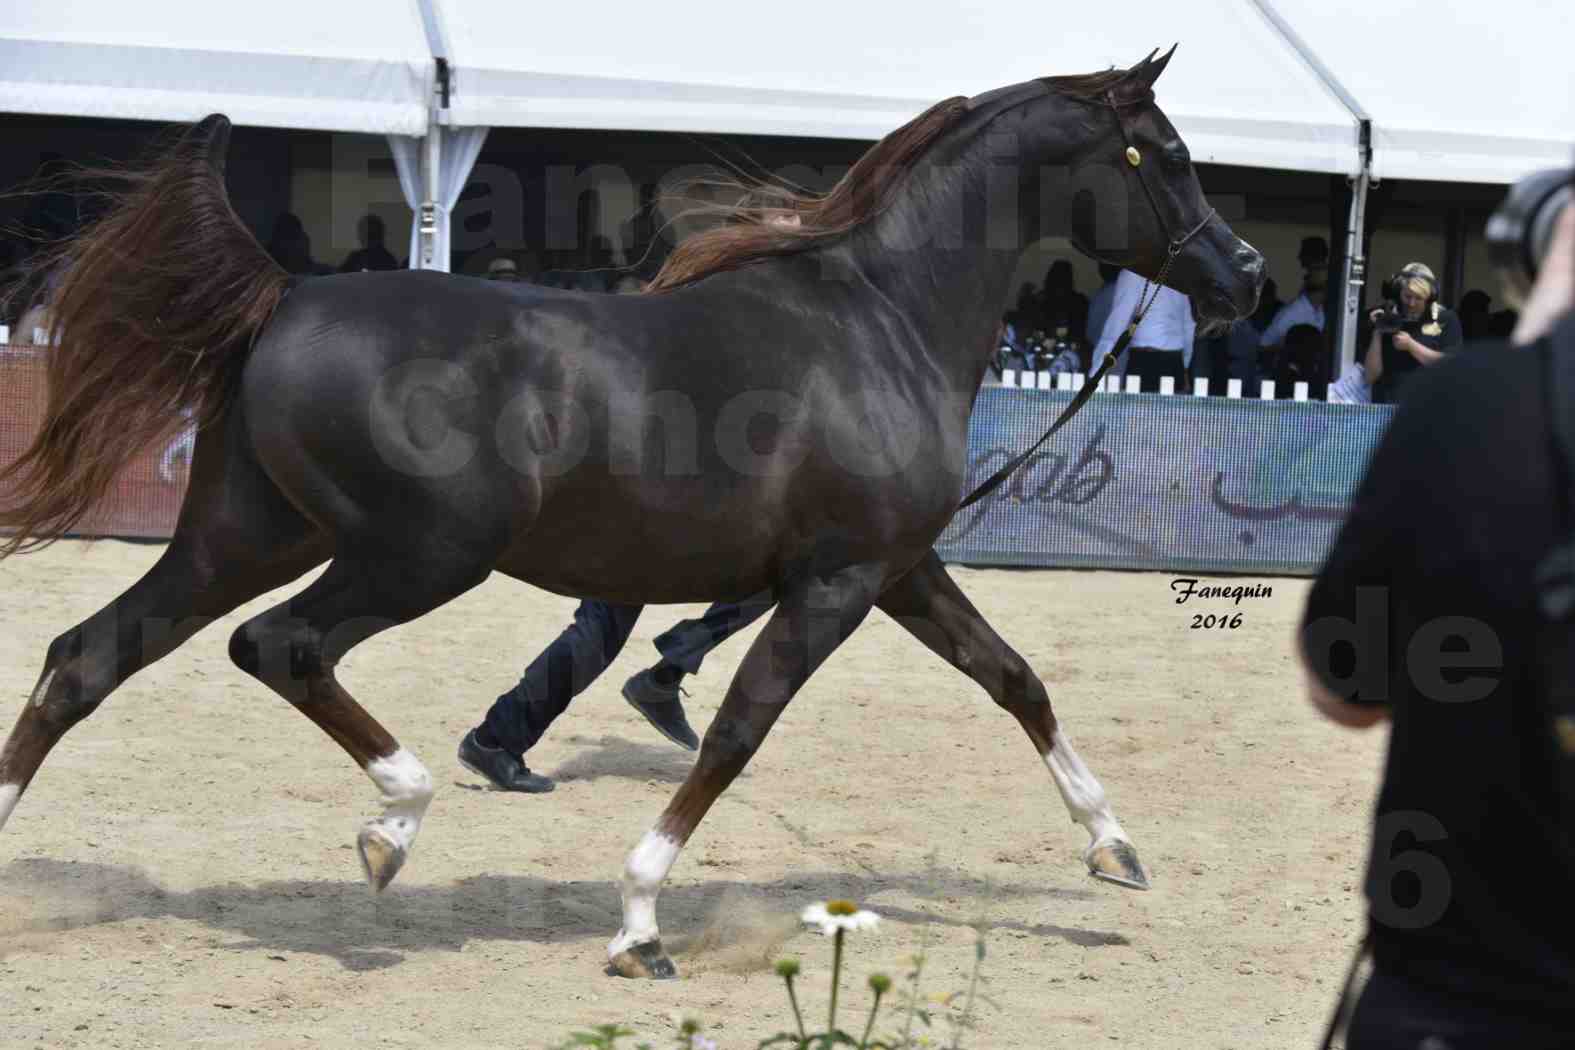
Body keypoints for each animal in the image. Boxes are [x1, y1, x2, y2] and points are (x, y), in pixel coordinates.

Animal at [0, 49, 1260, 982]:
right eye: (1172, 157)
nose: (1243, 272)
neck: (881, 319)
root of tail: (286, 296)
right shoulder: (838, 584)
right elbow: (737, 731)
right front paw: (640, 924)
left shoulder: (900, 570)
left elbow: (1015, 680)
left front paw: (1116, 850)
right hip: (415, 555)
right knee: (279, 646)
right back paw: (392, 826)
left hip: (245, 536)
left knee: (86, 657)